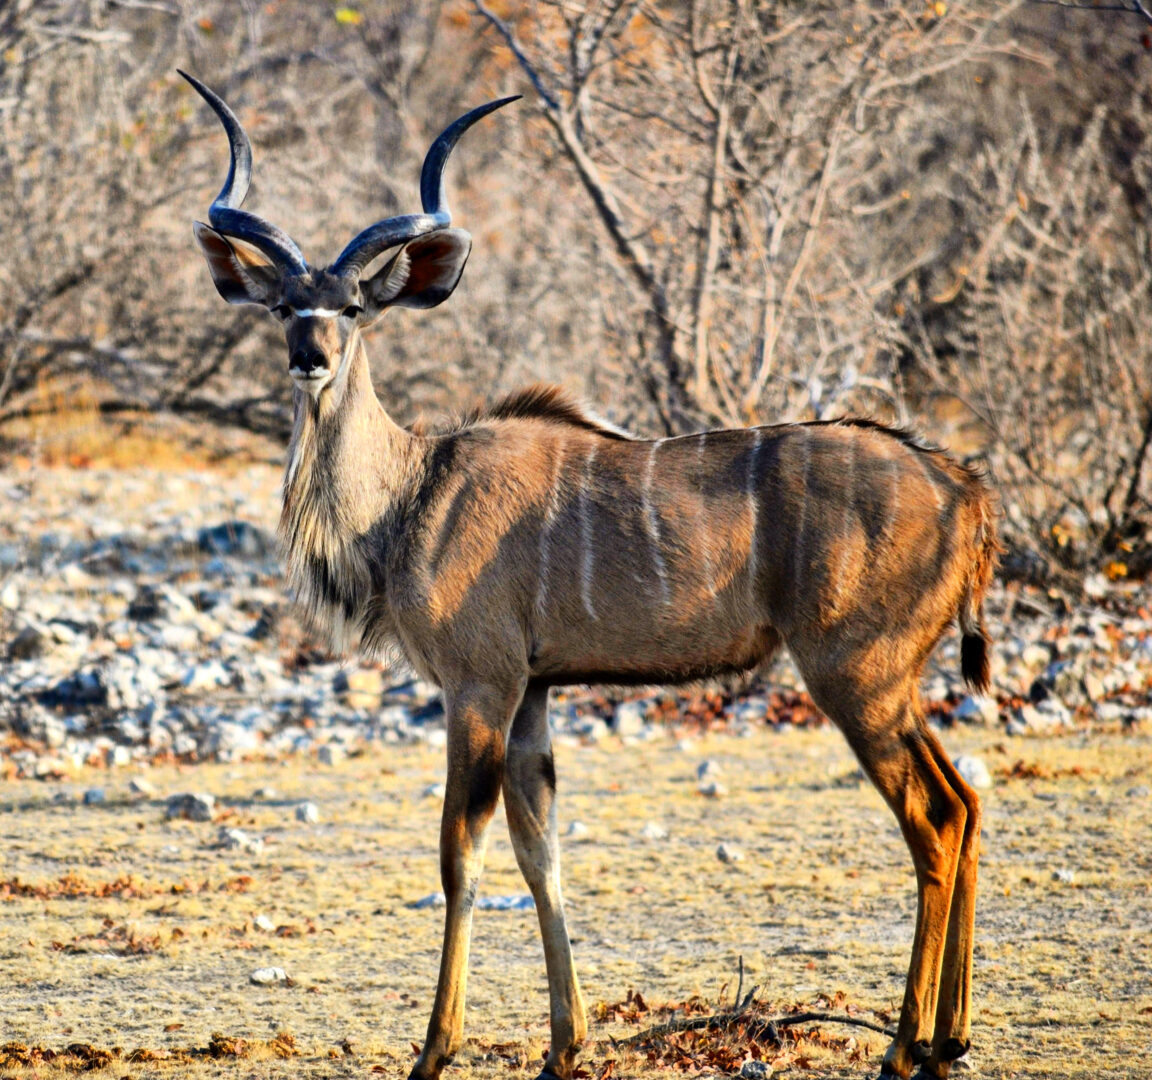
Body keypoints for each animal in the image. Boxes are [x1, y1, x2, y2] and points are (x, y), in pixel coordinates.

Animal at [184, 75, 995, 1077]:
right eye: (282, 307)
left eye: (355, 309)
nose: (311, 357)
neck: (413, 491)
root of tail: (963, 489)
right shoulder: (534, 692)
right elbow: (542, 852)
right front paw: (563, 1047)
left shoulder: (480, 685)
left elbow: (461, 853)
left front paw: (435, 1051)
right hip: (893, 684)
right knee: (964, 802)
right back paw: (950, 1037)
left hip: (856, 676)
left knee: (930, 820)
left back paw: (905, 1047)